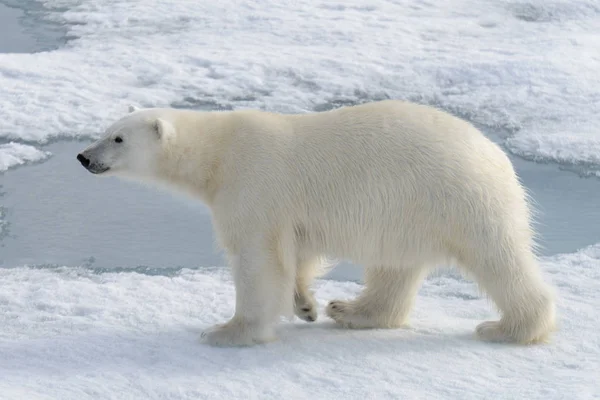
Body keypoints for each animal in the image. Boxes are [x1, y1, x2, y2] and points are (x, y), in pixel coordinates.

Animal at [77, 100, 556, 346]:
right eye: (104, 130)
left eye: (117, 138)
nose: (83, 156)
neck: (219, 153)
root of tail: (498, 157)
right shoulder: (289, 210)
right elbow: (298, 252)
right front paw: (305, 304)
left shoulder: (254, 182)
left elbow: (258, 259)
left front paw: (228, 331)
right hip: (409, 214)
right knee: (395, 268)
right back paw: (351, 311)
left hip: (457, 198)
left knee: (499, 261)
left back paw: (508, 328)